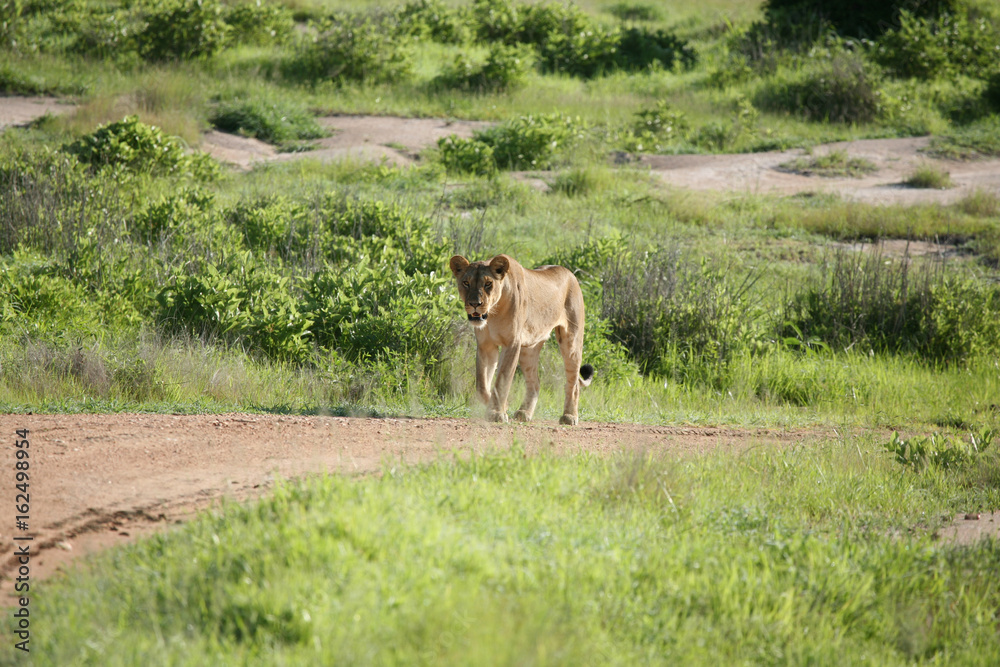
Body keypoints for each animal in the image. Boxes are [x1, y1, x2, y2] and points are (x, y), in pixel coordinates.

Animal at [449, 253, 594, 425]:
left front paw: (497, 412)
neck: (493, 313)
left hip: (571, 341)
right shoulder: (486, 346)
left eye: (488, 283)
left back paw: (569, 416)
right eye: (466, 283)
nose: (474, 304)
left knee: (574, 383)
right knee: (535, 383)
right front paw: (499, 406)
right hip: (529, 349)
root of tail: (571, 274)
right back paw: (524, 412)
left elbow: (502, 379)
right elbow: (482, 385)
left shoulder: (512, 343)